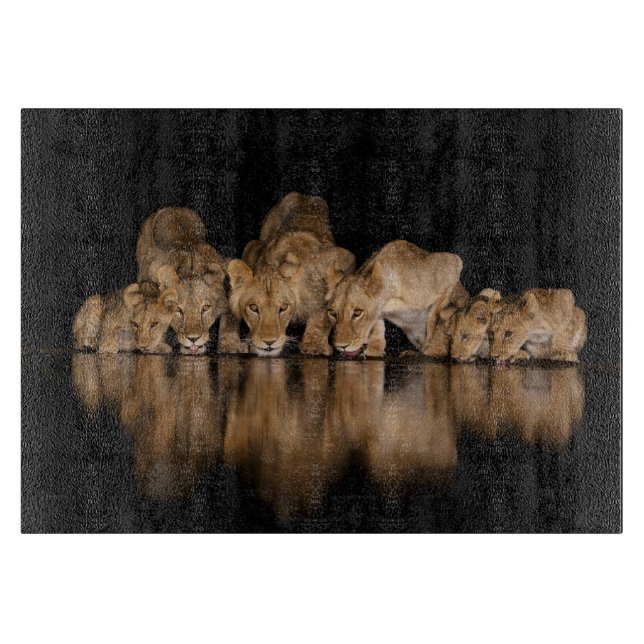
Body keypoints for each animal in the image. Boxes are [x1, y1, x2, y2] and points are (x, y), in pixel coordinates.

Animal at [137, 207, 243, 355]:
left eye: (205, 308)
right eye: (178, 310)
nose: (193, 338)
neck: (191, 269)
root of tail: (173, 207)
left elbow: (230, 318)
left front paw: (230, 344)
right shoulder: (149, 278)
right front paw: (156, 345)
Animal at [227, 192, 355, 356]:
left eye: (283, 307)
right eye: (254, 308)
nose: (269, 342)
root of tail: (304, 195)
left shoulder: (343, 259)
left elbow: (323, 314)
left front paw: (314, 346)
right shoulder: (253, 249)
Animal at [326, 240, 463, 358]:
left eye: (357, 313)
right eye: (332, 313)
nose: (341, 346)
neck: (390, 299)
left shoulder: (453, 263)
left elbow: (435, 316)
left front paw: (433, 351)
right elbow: (377, 324)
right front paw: (374, 350)